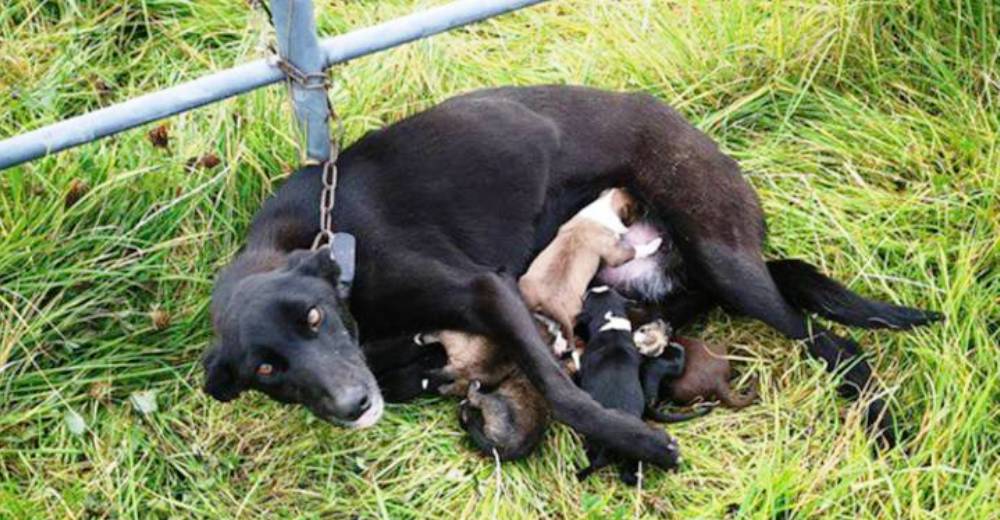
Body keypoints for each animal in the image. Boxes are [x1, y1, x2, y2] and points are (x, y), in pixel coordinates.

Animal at [516, 187, 656, 346]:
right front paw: (655, 243)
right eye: (638, 207)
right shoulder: (616, 254)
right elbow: (635, 250)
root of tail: (547, 300)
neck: (603, 208)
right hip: (574, 311)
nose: (647, 209)